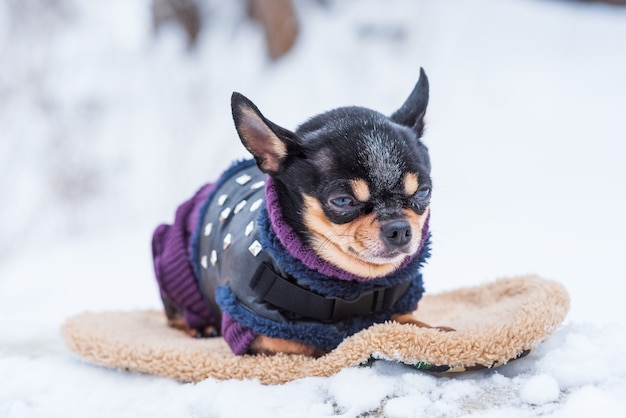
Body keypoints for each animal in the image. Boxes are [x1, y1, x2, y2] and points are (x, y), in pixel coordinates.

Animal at [151, 68, 446, 356]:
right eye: (342, 201)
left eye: (424, 192)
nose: (399, 229)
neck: (352, 285)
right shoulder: (253, 329)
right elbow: (313, 340)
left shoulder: (398, 306)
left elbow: (406, 321)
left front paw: (437, 330)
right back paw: (199, 326)